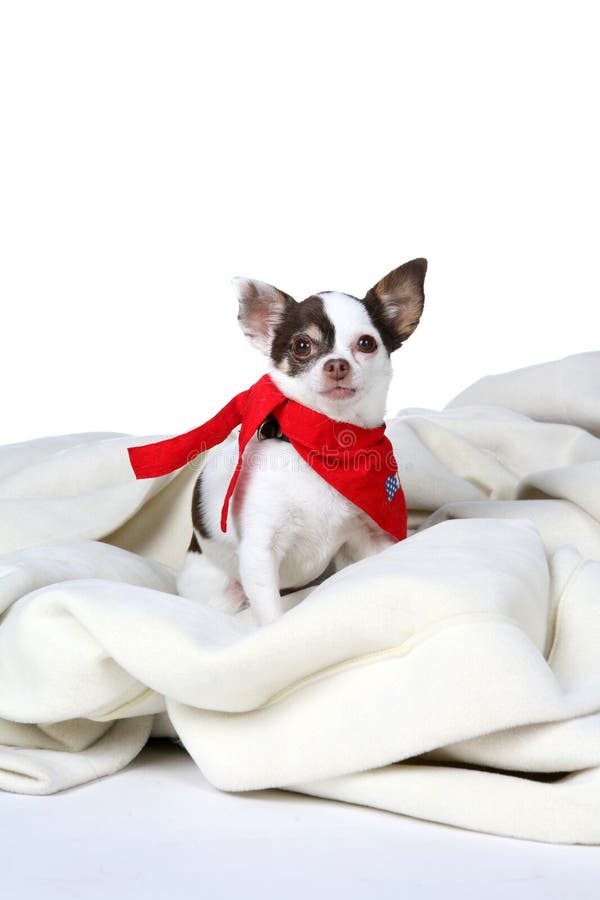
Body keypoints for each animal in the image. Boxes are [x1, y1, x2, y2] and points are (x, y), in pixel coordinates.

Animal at [175, 256, 426, 624]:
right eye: (302, 346)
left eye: (366, 343)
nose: (336, 364)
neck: (323, 442)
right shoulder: (259, 553)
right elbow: (271, 614)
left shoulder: (364, 538)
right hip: (218, 589)